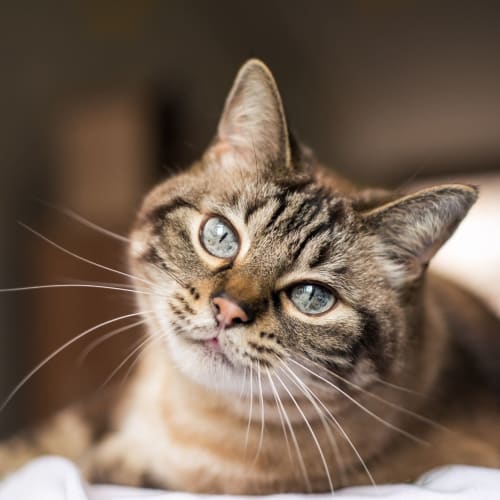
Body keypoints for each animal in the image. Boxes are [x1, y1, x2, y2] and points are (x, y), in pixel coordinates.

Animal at [0, 58, 500, 492]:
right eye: (221, 236)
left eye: (312, 297)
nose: (227, 310)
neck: (184, 414)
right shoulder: (101, 408)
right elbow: (33, 447)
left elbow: (106, 468)